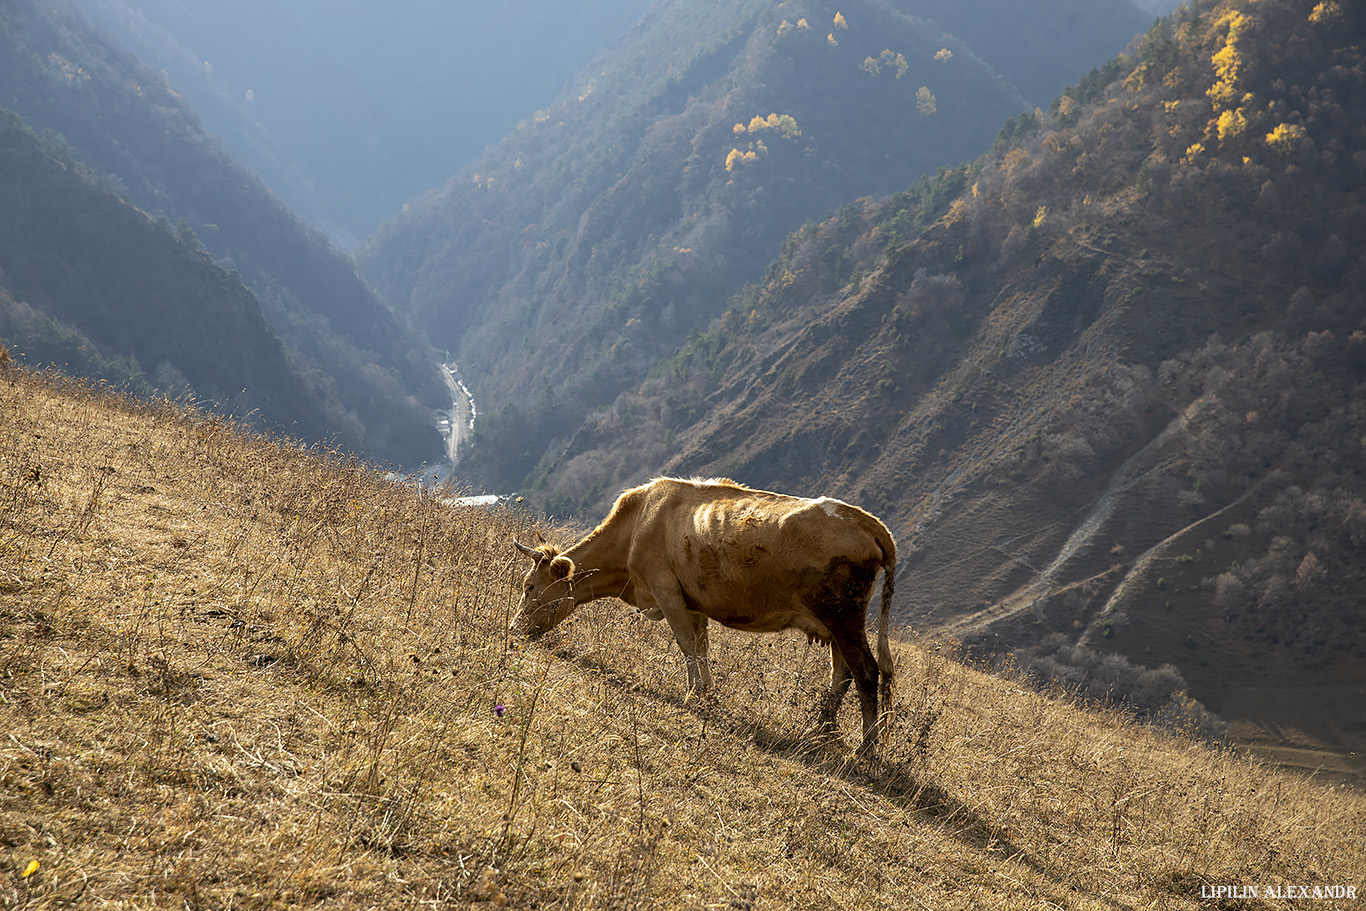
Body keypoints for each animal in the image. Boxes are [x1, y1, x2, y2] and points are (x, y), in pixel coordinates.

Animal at [513, 475, 896, 753]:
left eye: (529, 586)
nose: (516, 627)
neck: (635, 528)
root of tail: (868, 522)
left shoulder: (666, 590)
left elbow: (685, 645)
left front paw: (691, 695)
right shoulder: (692, 600)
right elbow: (701, 647)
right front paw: (708, 695)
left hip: (844, 619)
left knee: (866, 672)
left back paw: (866, 749)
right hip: (835, 625)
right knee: (842, 674)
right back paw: (823, 731)